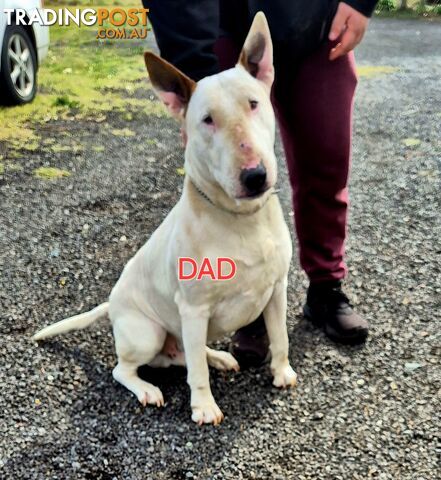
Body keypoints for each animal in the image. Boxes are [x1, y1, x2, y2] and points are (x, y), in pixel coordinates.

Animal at [33, 12, 296, 424]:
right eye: (207, 120)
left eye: (254, 103)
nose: (255, 176)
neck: (241, 220)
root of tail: (112, 304)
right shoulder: (193, 308)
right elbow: (197, 375)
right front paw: (204, 408)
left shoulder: (277, 290)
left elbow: (280, 336)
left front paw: (283, 372)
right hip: (148, 333)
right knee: (129, 368)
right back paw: (147, 388)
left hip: (178, 333)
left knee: (188, 354)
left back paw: (218, 357)